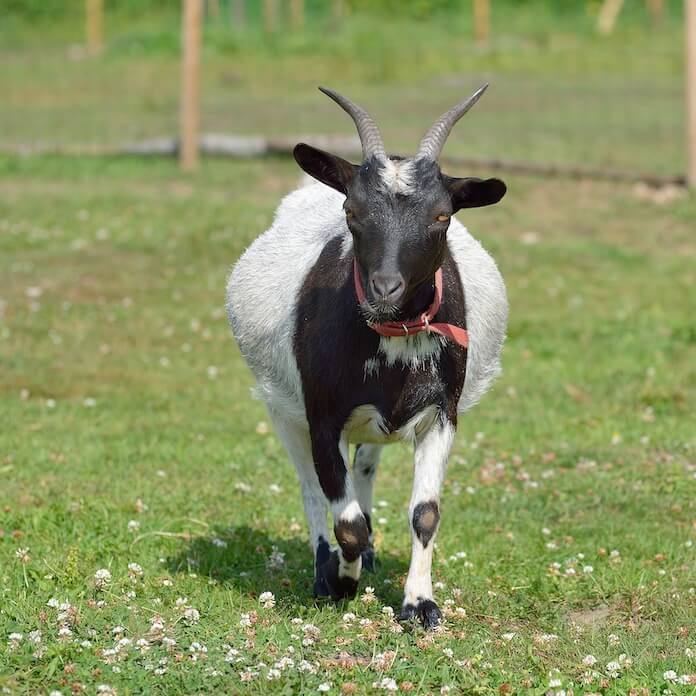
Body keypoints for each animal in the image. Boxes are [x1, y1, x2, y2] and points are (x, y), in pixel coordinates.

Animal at [226, 85, 507, 628]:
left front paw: (420, 604)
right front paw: (341, 582)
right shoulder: (322, 417)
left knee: (365, 468)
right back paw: (325, 568)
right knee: (311, 488)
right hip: (281, 408)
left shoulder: (443, 412)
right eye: (351, 211)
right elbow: (347, 520)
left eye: (442, 215)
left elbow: (425, 513)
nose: (384, 288)